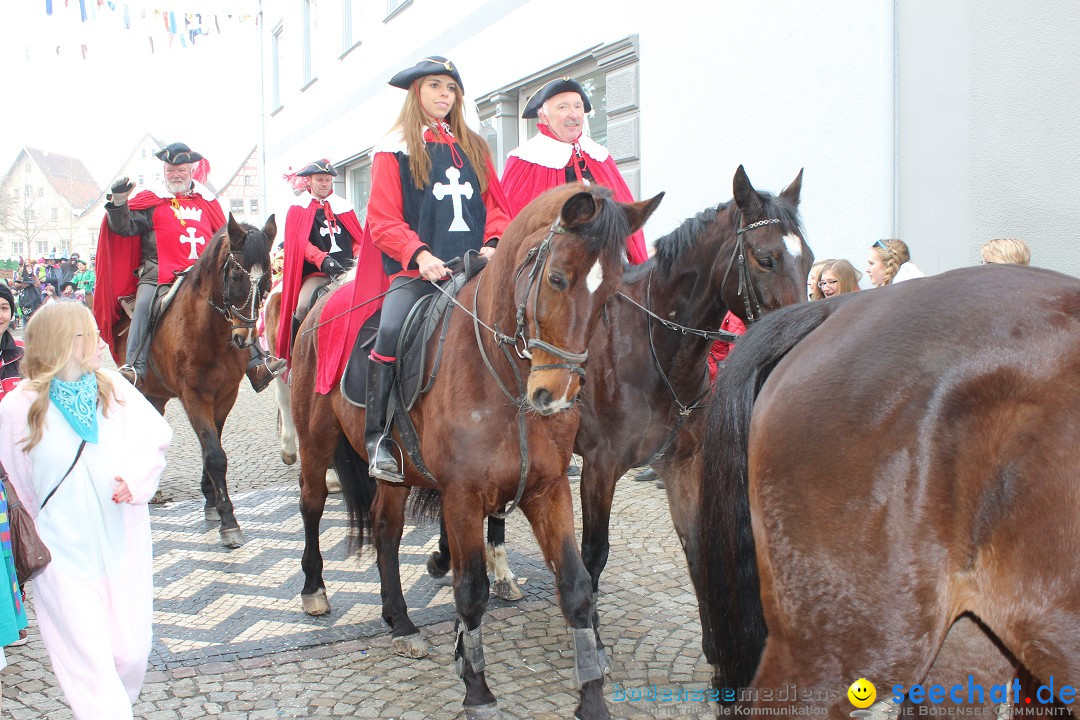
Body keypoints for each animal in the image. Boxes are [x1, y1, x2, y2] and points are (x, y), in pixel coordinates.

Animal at [287, 183, 656, 716]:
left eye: (610, 295)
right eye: (558, 278)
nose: (556, 395)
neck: (504, 377)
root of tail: (322, 304)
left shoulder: (547, 490)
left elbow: (576, 586)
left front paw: (591, 696)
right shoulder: (462, 498)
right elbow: (471, 591)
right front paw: (477, 688)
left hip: (397, 472)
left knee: (386, 530)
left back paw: (401, 622)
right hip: (316, 441)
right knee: (312, 505)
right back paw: (315, 589)